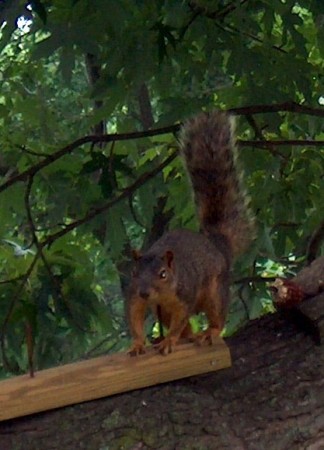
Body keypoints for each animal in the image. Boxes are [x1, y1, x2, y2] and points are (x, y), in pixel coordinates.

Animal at [128, 110, 254, 356]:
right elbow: (136, 318)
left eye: (163, 274)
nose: (146, 292)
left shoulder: (184, 297)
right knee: (183, 326)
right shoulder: (136, 297)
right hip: (163, 311)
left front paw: (169, 341)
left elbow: (179, 321)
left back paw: (209, 332)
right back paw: (187, 336)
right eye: (135, 272)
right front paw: (138, 344)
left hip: (215, 291)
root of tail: (218, 243)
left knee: (216, 316)